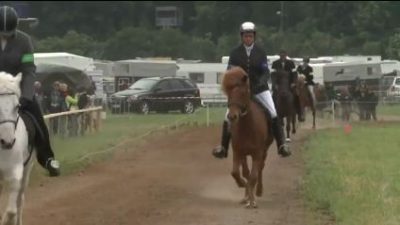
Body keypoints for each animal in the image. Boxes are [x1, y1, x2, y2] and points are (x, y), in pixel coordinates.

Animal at [222, 67, 276, 209]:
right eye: (228, 93)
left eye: (243, 93)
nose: (232, 116)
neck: (247, 127)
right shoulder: (238, 151)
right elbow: (237, 173)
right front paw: (244, 191)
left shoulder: (257, 153)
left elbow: (253, 175)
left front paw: (252, 200)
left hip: (265, 149)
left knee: (261, 167)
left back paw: (259, 191)